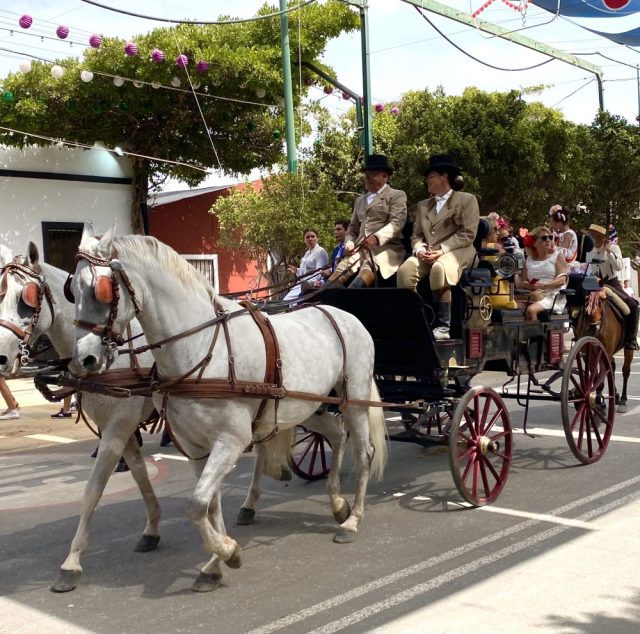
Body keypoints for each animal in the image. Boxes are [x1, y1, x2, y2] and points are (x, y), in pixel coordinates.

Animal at [0, 242, 161, 592]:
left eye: (26, 299)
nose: (0, 357)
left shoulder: (118, 425)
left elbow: (93, 489)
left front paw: (71, 562)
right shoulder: (116, 426)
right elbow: (140, 473)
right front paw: (152, 527)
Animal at [69, 226, 387, 592]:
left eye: (101, 290)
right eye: (71, 289)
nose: (84, 359)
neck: (202, 348)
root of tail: (344, 316)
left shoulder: (230, 441)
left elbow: (196, 505)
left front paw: (228, 551)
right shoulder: (194, 445)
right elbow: (209, 504)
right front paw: (215, 563)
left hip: (354, 401)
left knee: (364, 452)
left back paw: (352, 520)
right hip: (311, 407)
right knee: (336, 435)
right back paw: (337, 503)